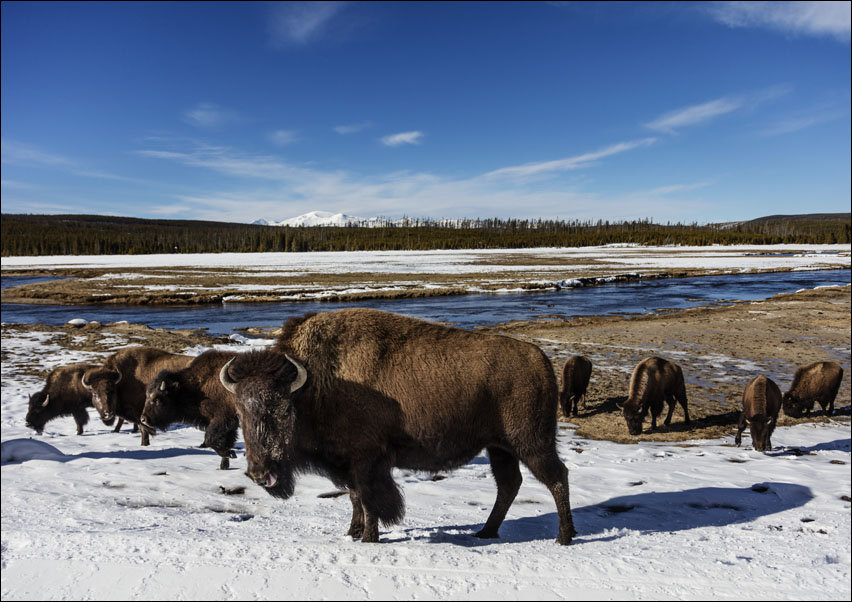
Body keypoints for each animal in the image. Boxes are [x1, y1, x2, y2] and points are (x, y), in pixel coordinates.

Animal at [219, 308, 576, 545]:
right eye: (241, 412)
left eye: (282, 410)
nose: (260, 474)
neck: (313, 386)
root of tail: (541, 360)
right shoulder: (348, 464)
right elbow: (355, 498)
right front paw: (353, 532)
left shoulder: (366, 461)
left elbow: (368, 499)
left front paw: (368, 538)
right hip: (499, 447)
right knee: (509, 484)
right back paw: (486, 532)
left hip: (531, 442)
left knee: (556, 477)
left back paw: (564, 537)